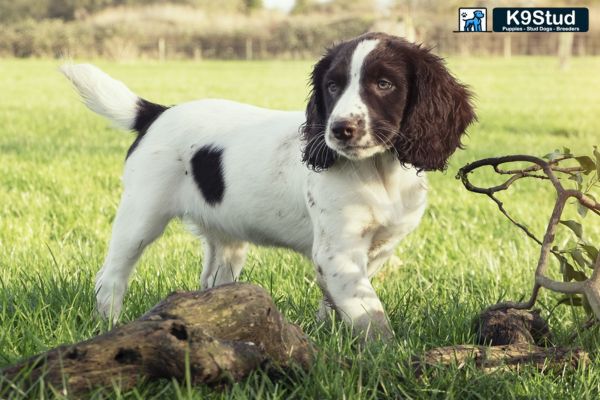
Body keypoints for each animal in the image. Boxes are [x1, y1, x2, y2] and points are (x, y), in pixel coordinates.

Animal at [61, 32, 474, 340]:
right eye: (332, 87)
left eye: (384, 84)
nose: (340, 130)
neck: (377, 170)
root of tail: (157, 112)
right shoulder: (337, 251)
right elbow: (370, 313)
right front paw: (384, 353)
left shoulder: (378, 248)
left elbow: (341, 301)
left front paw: (330, 337)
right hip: (141, 215)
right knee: (111, 276)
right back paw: (111, 327)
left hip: (225, 238)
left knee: (213, 281)